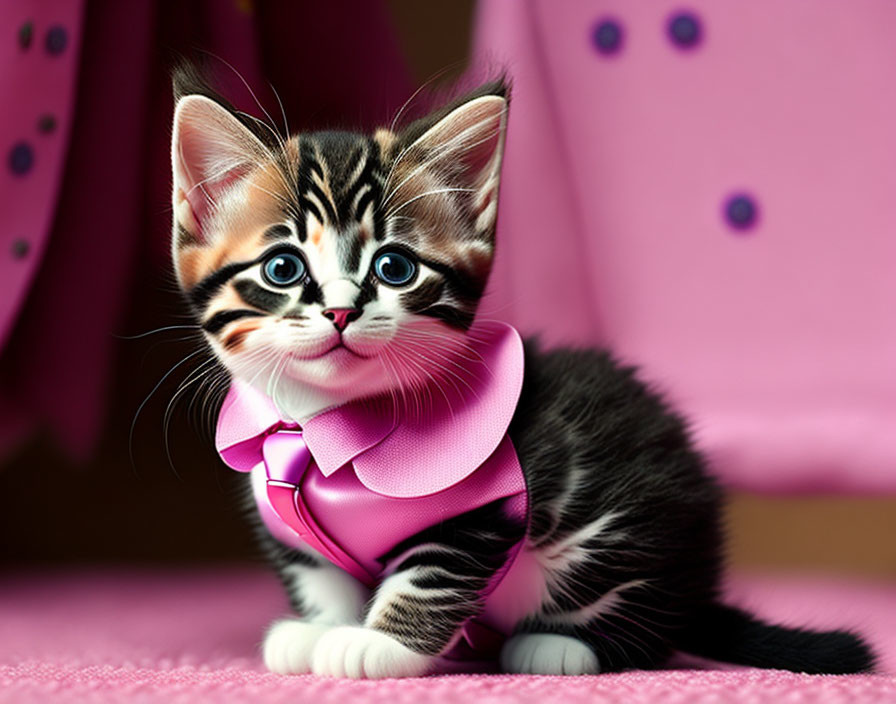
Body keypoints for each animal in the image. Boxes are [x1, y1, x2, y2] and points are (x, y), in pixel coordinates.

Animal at [168, 69, 876, 680]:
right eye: (283, 268)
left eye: (394, 268)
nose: (342, 311)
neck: (319, 434)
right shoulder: (290, 527)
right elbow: (322, 575)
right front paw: (321, 628)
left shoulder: (483, 508)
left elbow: (431, 574)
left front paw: (377, 644)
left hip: (629, 532)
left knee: (644, 624)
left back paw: (559, 646)